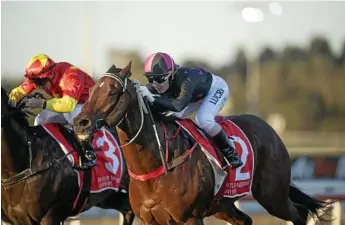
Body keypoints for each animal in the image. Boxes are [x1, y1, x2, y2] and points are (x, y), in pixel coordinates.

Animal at [74, 62, 330, 225]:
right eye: (92, 89)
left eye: (112, 91)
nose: (80, 122)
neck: (157, 165)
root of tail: (270, 130)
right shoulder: (149, 219)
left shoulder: (190, 217)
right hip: (224, 204)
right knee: (246, 220)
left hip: (272, 194)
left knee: (300, 213)